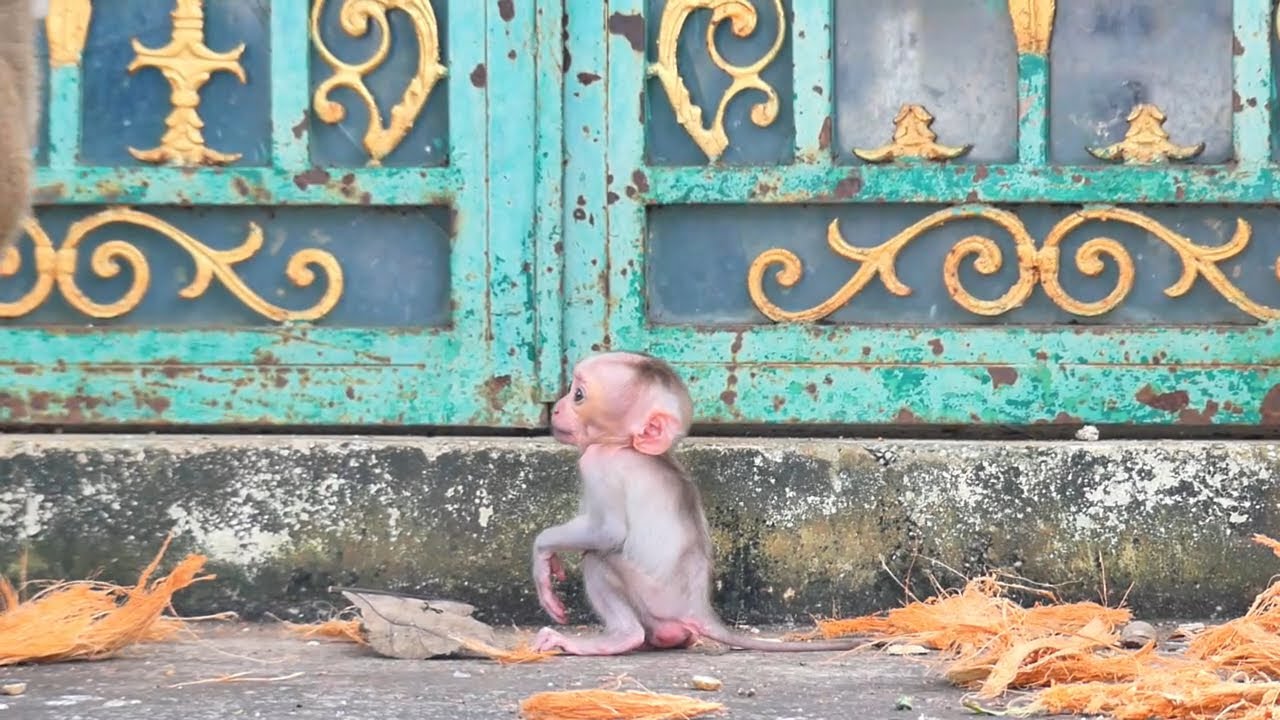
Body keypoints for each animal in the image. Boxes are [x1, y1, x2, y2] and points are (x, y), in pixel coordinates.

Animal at [530, 351, 864, 656]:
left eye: (578, 395)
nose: (556, 408)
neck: (624, 445)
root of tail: (698, 608)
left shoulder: (599, 464)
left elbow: (607, 532)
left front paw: (543, 551)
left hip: (654, 597)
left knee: (599, 558)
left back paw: (620, 638)